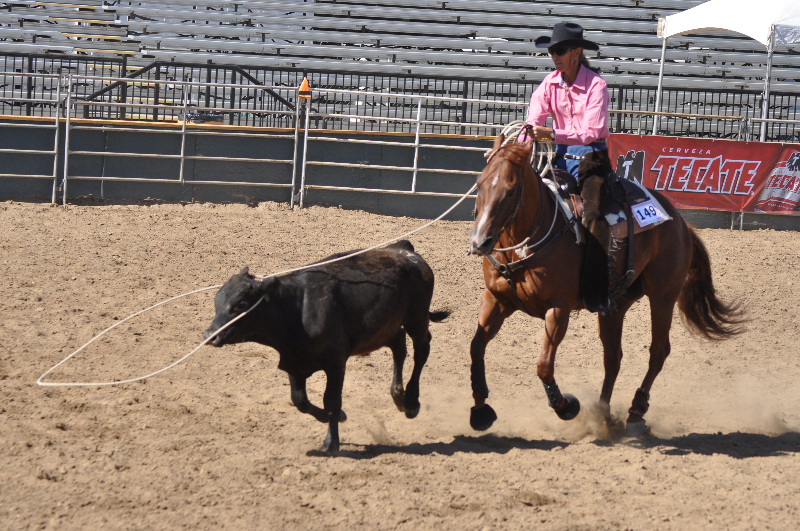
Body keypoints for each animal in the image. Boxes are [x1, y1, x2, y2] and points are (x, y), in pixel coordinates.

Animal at [203, 241, 449, 452]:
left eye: (241, 304)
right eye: (217, 301)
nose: (209, 335)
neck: (297, 308)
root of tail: (402, 249)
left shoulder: (336, 362)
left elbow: (331, 399)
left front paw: (331, 442)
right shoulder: (293, 361)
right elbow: (299, 400)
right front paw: (336, 416)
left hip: (417, 319)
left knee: (422, 349)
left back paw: (411, 402)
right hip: (383, 328)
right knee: (399, 344)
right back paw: (398, 396)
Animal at [467, 134, 745, 437]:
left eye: (510, 190)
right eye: (480, 184)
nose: (480, 241)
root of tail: (681, 223)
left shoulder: (558, 309)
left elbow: (544, 365)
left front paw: (567, 407)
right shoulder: (496, 300)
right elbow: (476, 346)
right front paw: (480, 411)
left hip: (663, 295)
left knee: (658, 351)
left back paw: (636, 412)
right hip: (615, 303)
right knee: (613, 357)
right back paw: (603, 413)